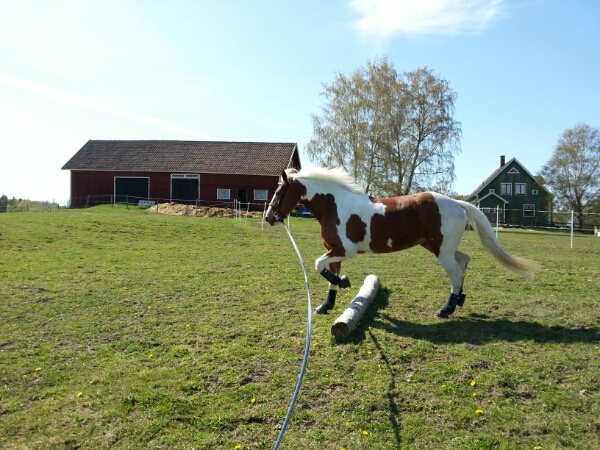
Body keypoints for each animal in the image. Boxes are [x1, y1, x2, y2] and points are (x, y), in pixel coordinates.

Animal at [264, 167, 540, 318]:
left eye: (279, 192)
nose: (269, 217)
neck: (335, 205)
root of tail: (456, 203)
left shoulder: (344, 250)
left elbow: (317, 265)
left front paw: (344, 282)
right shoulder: (333, 250)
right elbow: (328, 274)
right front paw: (326, 305)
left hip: (442, 250)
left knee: (455, 273)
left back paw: (446, 309)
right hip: (437, 246)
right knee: (464, 262)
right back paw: (458, 301)